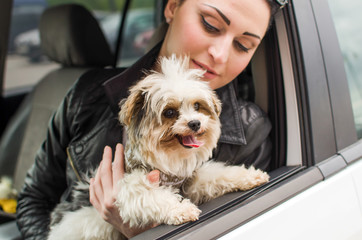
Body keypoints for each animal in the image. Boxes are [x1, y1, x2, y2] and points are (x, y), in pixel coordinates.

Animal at [47, 55, 268, 239]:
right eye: (169, 112)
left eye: (197, 106)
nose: (195, 123)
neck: (169, 160)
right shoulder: (131, 186)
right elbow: (153, 196)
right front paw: (180, 209)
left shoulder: (189, 181)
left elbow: (219, 174)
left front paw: (249, 176)